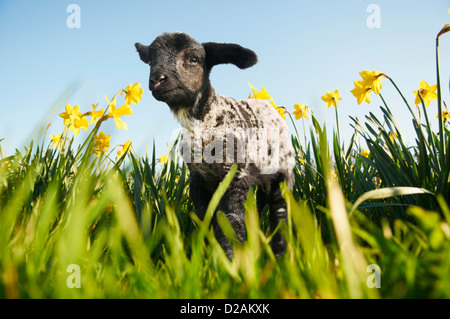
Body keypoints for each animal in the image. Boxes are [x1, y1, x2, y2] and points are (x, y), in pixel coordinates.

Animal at [134, 32, 296, 262]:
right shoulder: (198, 180)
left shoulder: (235, 175)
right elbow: (207, 219)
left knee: (280, 211)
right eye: (150, 61)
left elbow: (230, 220)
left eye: (194, 59)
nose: (157, 79)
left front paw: (230, 260)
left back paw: (280, 255)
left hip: (283, 173)